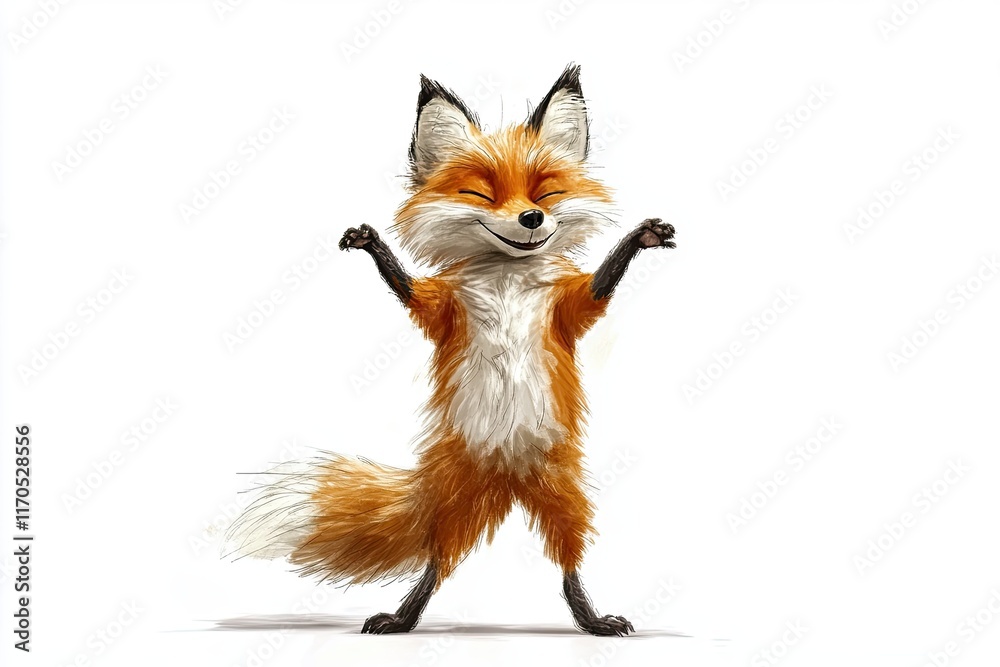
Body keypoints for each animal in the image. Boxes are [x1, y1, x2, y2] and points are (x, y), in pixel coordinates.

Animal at [223, 64, 676, 636]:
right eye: (481, 195)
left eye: (547, 192)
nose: (531, 219)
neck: (506, 274)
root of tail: (506, 473)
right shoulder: (443, 308)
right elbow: (411, 290)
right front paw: (372, 244)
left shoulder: (567, 308)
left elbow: (595, 286)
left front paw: (642, 238)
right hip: (459, 506)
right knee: (436, 564)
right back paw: (402, 618)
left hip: (563, 491)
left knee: (568, 565)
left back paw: (591, 619)